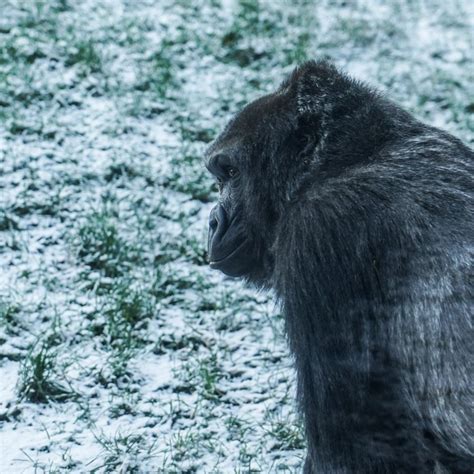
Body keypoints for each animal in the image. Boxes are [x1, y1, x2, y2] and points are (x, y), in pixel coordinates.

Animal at [205, 61, 474, 472]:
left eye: (231, 173)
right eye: (220, 177)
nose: (213, 221)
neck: (354, 158)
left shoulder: (320, 233)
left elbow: (352, 448)